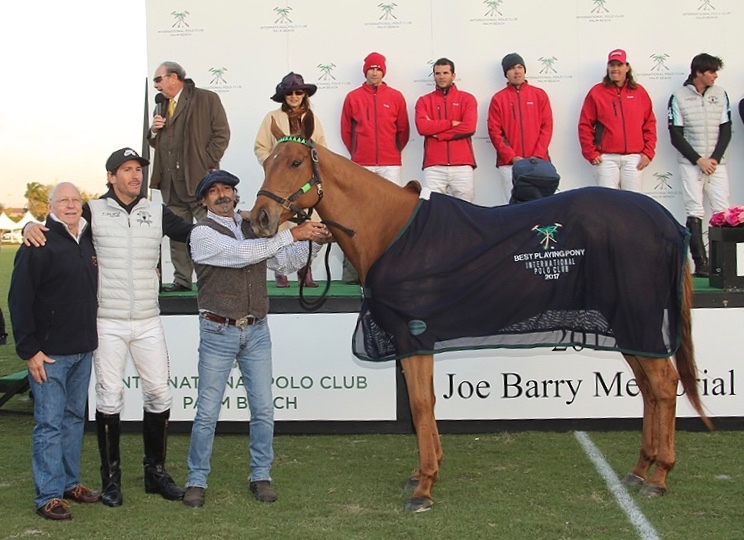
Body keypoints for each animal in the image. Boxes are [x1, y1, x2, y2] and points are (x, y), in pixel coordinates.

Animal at [250, 113, 708, 510]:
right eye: (267, 161)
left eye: (295, 162)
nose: (260, 218)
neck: (392, 231)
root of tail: (667, 222)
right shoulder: (414, 341)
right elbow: (426, 403)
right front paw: (425, 472)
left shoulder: (414, 336)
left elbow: (421, 404)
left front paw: (425, 487)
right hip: (628, 326)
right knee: (649, 389)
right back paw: (639, 469)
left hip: (640, 320)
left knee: (664, 385)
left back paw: (659, 476)